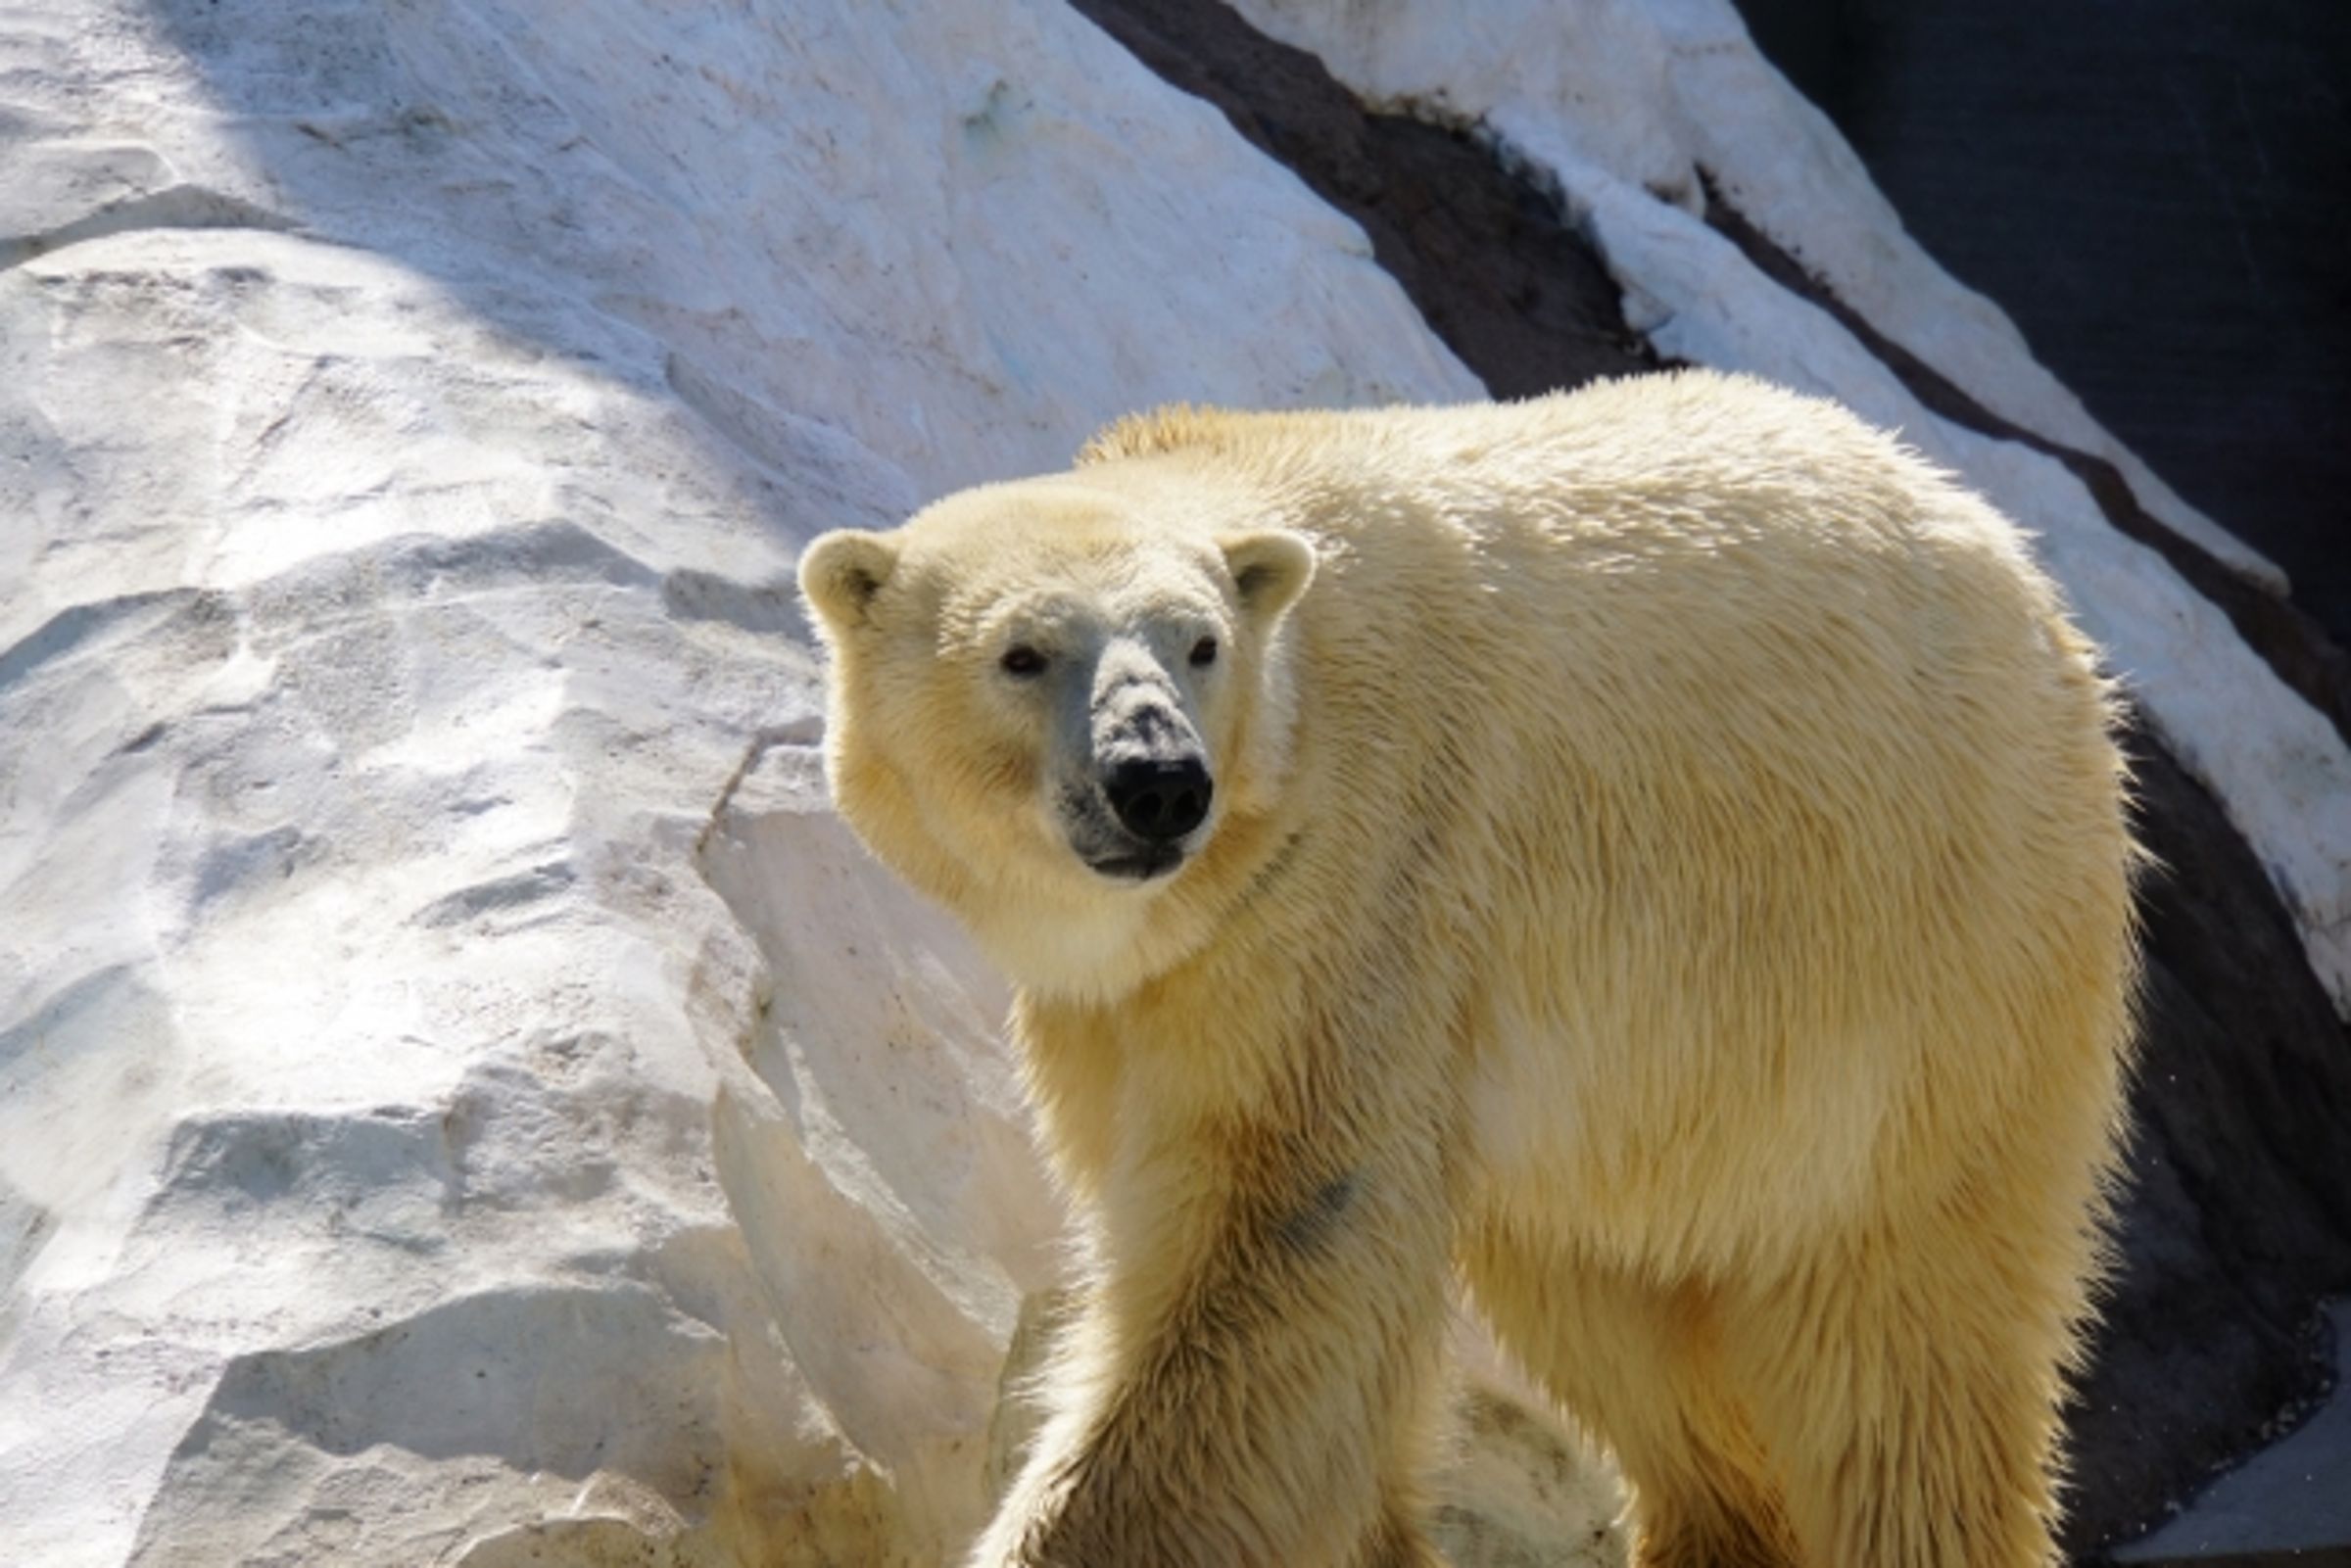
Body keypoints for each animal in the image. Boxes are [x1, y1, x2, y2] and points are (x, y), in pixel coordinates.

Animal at [796, 368, 2141, 1568]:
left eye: (1200, 643)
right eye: (1023, 653)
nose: (1159, 780)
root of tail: (2032, 591)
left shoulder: (1358, 877)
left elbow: (1282, 1240)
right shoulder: (1135, 999)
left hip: (1934, 959)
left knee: (1900, 1335)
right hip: (1659, 1098)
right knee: (1611, 1300)